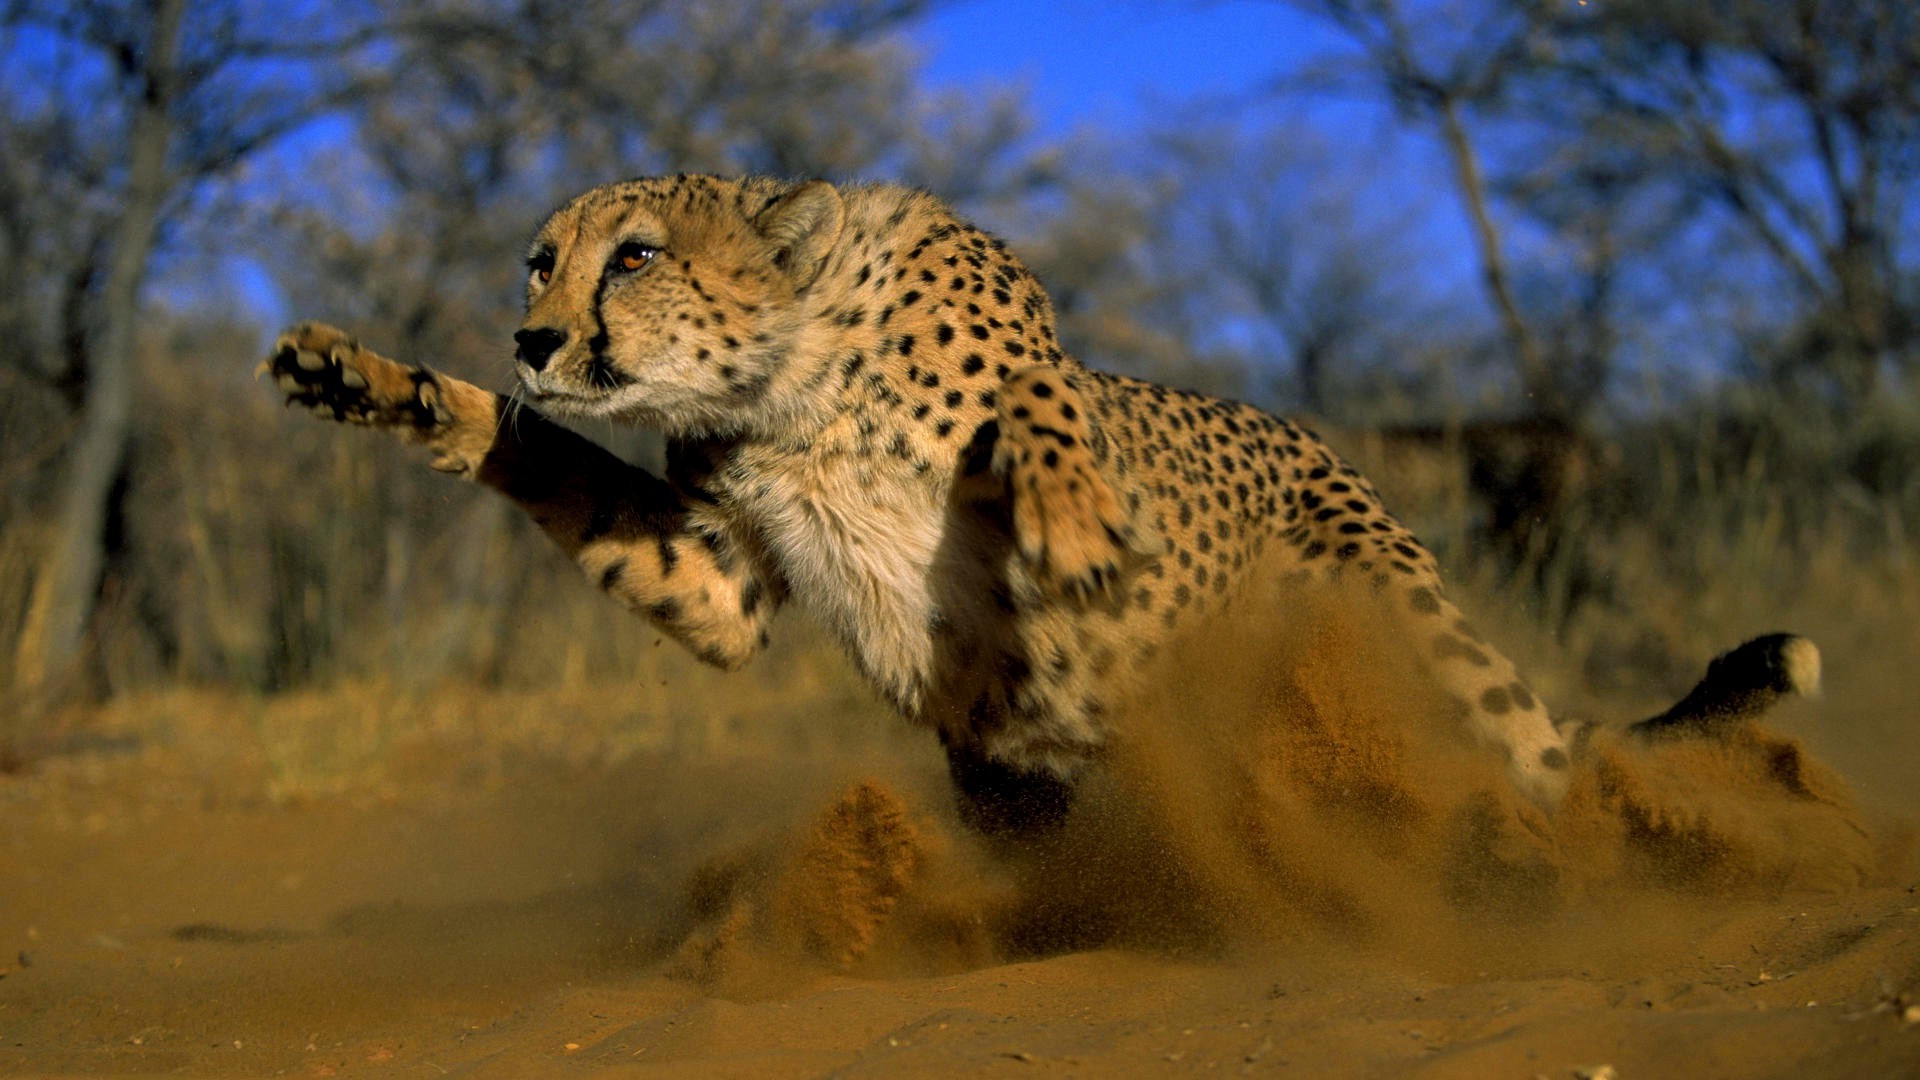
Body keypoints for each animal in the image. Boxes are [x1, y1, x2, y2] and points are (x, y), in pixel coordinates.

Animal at [263, 174, 1820, 834]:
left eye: (635, 256)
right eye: (541, 262)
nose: (532, 338)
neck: (793, 387)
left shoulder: (1041, 363)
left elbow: (1044, 409)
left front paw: (1067, 524)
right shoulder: (718, 579)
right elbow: (546, 464)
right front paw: (378, 383)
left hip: (1399, 616)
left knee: (1536, 761)